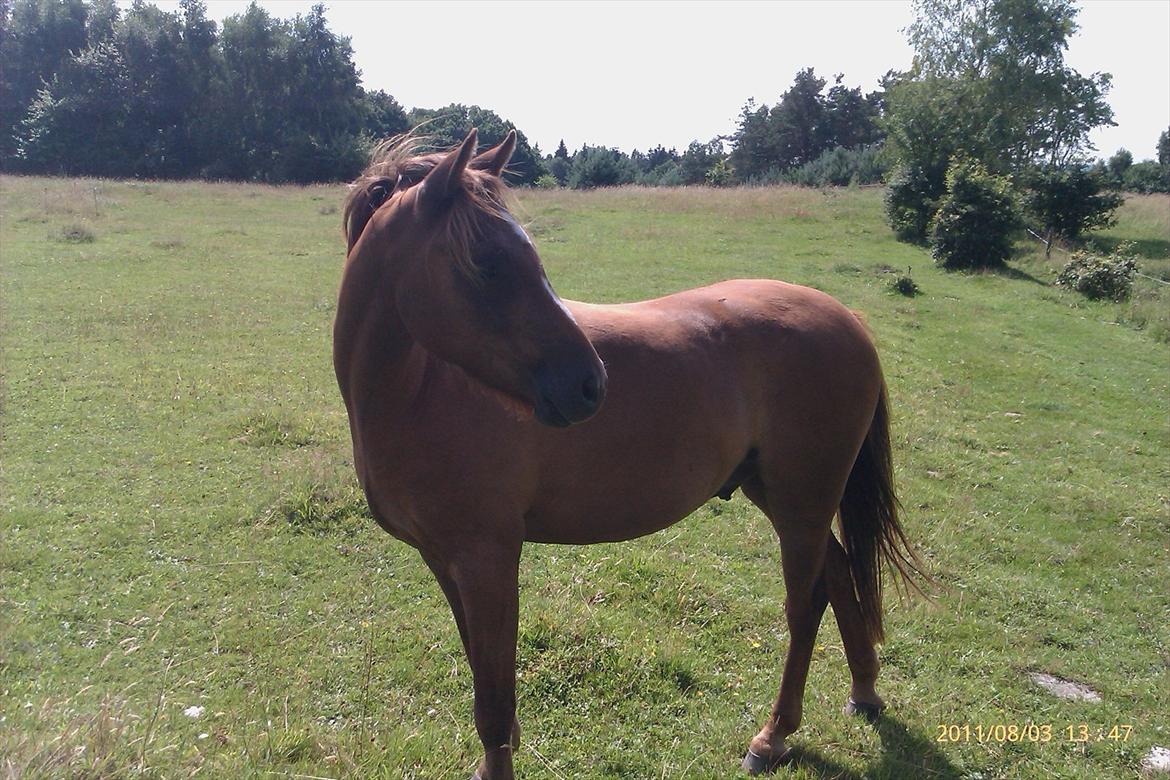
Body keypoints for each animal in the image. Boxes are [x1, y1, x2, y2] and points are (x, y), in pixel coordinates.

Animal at [333, 129, 922, 779]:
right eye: (487, 264)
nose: (591, 384)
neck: (418, 390)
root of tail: (849, 319)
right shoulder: (446, 560)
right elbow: (484, 676)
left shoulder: (488, 559)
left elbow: (493, 697)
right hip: (782, 495)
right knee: (840, 578)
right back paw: (864, 691)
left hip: (802, 503)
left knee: (807, 601)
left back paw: (773, 736)